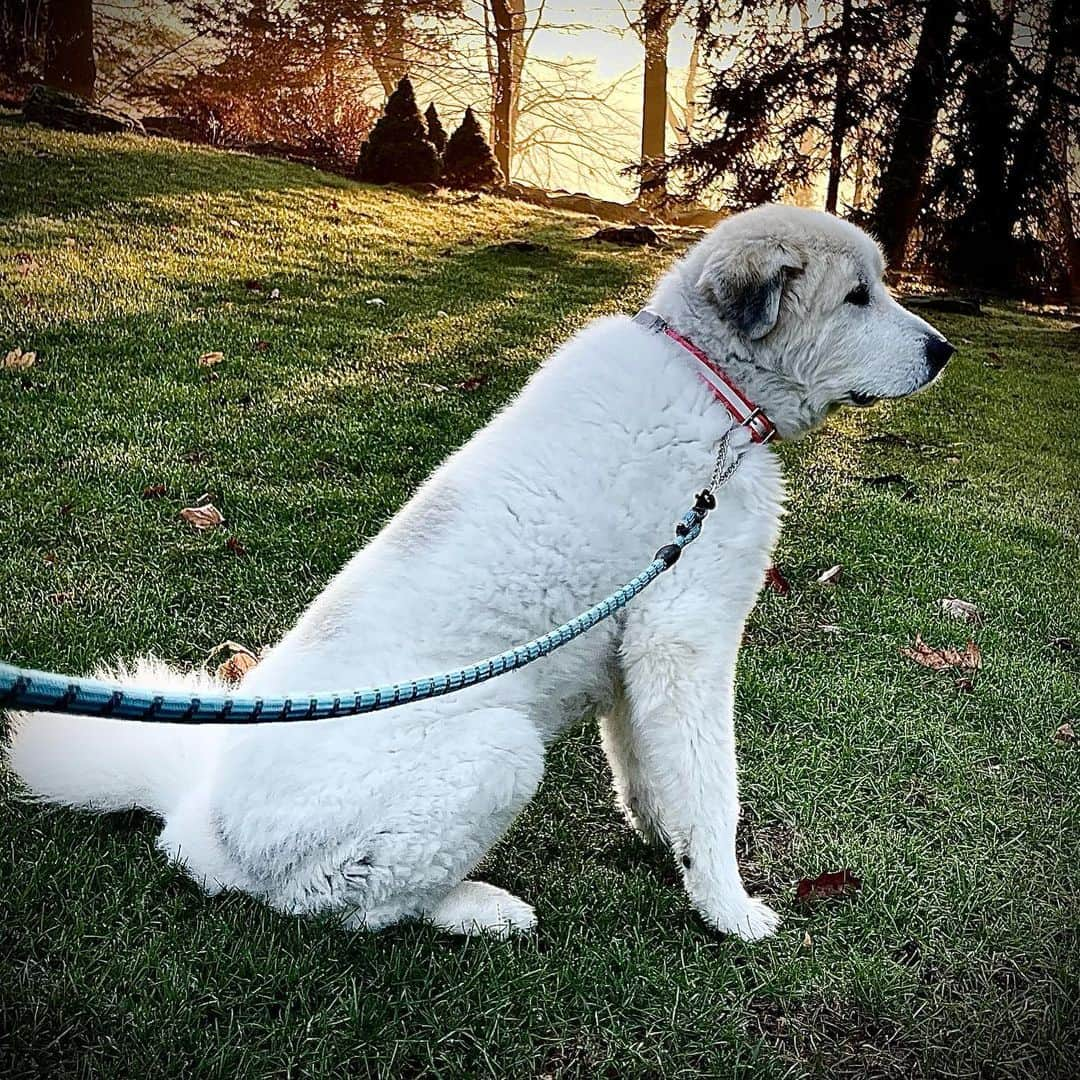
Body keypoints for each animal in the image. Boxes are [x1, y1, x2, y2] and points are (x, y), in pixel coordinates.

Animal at [8, 203, 954, 937]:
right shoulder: (685, 633)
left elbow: (650, 770)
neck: (711, 383)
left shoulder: (636, 647)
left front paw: (670, 847)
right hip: (497, 751)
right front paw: (727, 907)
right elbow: (711, 782)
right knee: (344, 905)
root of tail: (200, 821)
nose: (944, 351)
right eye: (858, 296)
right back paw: (478, 909)